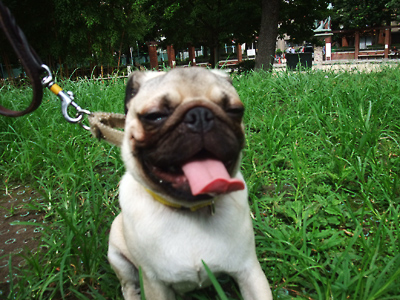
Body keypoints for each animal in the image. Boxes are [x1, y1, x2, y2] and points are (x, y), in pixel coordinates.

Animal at [108, 66, 274, 300]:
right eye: (155, 116)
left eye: (235, 110)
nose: (200, 115)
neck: (189, 210)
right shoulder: (154, 283)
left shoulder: (250, 271)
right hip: (116, 254)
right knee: (128, 285)